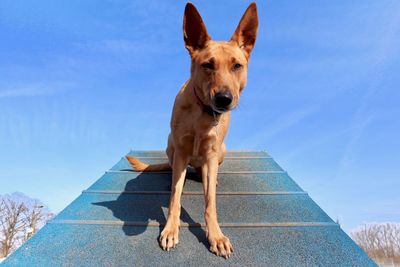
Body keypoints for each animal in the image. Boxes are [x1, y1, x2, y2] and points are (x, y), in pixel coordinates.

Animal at [127, 2, 260, 260]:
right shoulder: (181, 150)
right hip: (170, 143)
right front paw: (170, 229)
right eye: (207, 65)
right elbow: (175, 198)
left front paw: (216, 235)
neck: (203, 115)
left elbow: (210, 204)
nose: (224, 99)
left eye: (237, 66)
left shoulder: (211, 154)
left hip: (221, 151)